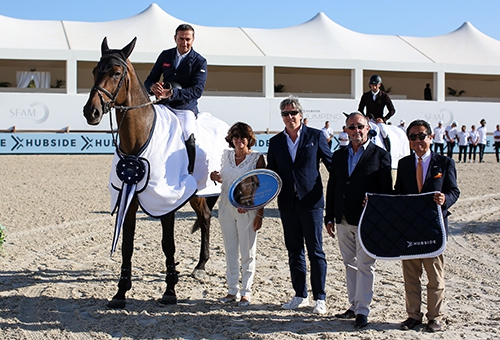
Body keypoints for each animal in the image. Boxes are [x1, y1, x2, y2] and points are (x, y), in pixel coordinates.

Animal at [83, 37, 226, 308]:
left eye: (116, 72)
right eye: (95, 71)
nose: (91, 112)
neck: (139, 137)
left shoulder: (166, 200)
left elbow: (168, 244)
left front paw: (170, 291)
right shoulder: (129, 195)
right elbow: (127, 245)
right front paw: (120, 292)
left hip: (198, 191)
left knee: (205, 218)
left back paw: (201, 266)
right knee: (204, 217)